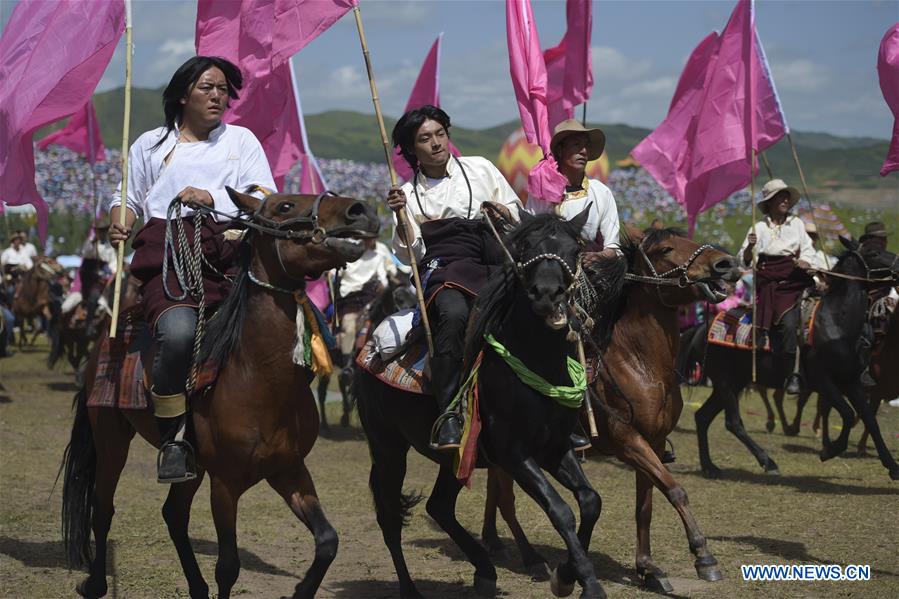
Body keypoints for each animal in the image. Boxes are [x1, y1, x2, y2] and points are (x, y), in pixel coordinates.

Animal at [61, 189, 380, 599]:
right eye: (285, 206)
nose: (361, 211)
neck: (259, 379)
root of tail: (110, 329)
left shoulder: (289, 469)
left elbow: (327, 541)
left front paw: (300, 590)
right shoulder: (226, 484)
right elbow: (228, 566)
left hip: (191, 466)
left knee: (173, 514)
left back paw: (195, 587)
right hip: (111, 437)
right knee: (103, 508)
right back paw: (97, 582)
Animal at [356, 209, 608, 596]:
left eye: (575, 250)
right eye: (525, 248)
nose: (547, 295)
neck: (536, 360)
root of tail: (370, 346)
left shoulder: (556, 448)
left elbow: (591, 501)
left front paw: (567, 575)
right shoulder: (514, 454)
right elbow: (560, 510)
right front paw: (583, 582)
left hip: (455, 456)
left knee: (440, 508)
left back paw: (486, 571)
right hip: (387, 447)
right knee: (390, 517)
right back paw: (410, 588)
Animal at [486, 226, 740, 596]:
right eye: (666, 249)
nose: (726, 264)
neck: (641, 364)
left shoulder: (654, 443)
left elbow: (645, 506)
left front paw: (648, 568)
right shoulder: (628, 442)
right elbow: (674, 489)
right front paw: (703, 556)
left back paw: (493, 542)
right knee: (506, 499)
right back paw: (531, 559)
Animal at [696, 237, 899, 480]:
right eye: (874, 252)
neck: (836, 323)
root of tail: (707, 327)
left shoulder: (851, 382)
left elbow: (870, 420)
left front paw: (893, 466)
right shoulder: (823, 381)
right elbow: (849, 415)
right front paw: (829, 450)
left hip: (732, 383)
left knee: (702, 416)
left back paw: (709, 466)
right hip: (726, 382)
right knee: (733, 422)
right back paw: (768, 462)